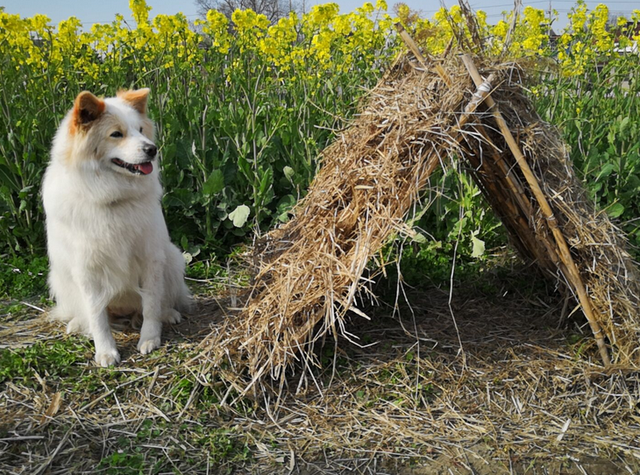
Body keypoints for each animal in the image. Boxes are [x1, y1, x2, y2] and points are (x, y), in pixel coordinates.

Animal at [42, 87, 191, 366]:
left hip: (173, 260)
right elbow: (97, 317)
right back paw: (78, 324)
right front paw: (106, 352)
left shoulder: (150, 259)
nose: (152, 149)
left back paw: (168, 314)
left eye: (140, 130)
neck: (112, 199)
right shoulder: (87, 271)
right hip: (59, 277)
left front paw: (150, 339)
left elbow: (151, 305)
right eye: (116, 134)